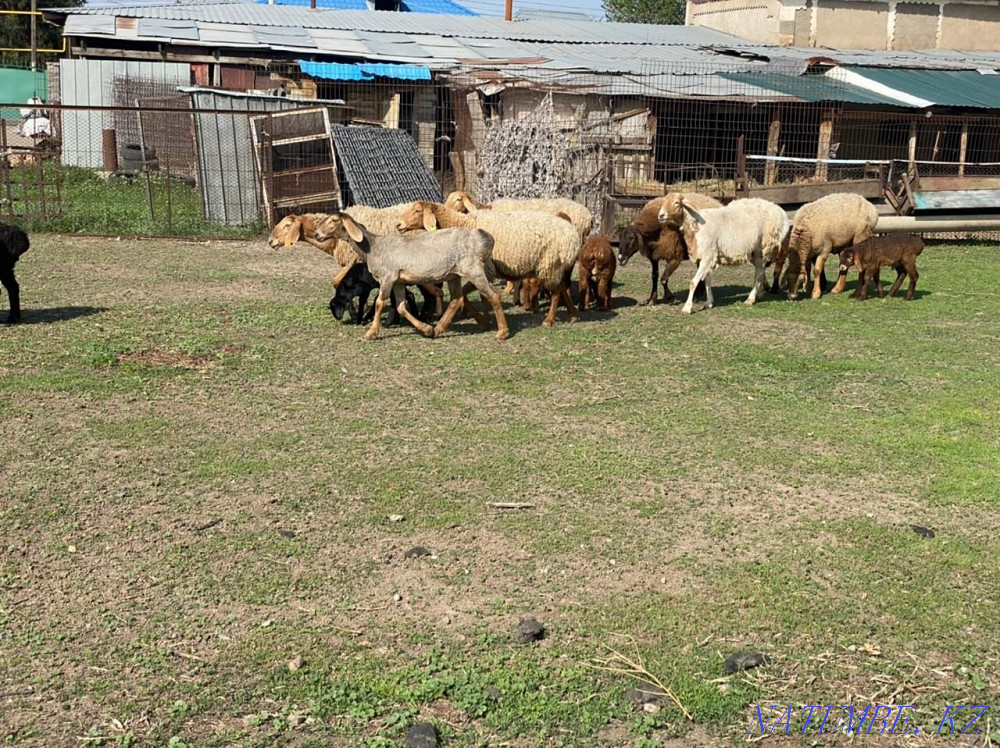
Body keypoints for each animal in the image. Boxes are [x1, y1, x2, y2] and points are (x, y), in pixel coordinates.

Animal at [317, 212, 508, 341]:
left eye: (333, 220)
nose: (317, 234)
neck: (373, 247)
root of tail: (484, 237)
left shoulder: (388, 276)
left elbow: (379, 303)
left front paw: (371, 332)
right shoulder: (398, 281)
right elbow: (401, 306)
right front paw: (425, 329)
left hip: (473, 269)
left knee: (493, 295)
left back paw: (502, 332)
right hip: (454, 274)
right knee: (457, 299)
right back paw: (438, 329)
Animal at [396, 202, 582, 328]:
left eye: (417, 210)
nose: (398, 225)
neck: (462, 224)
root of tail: (573, 234)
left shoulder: (483, 268)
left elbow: (472, 294)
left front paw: (480, 318)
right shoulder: (482, 270)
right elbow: (477, 295)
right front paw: (484, 318)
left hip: (550, 264)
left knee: (556, 292)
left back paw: (549, 320)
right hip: (555, 266)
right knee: (563, 287)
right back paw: (573, 315)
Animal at [658, 197, 789, 315]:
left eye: (676, 203)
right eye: (664, 200)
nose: (661, 215)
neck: (695, 225)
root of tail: (780, 212)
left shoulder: (708, 255)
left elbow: (693, 282)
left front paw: (687, 308)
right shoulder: (707, 257)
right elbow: (707, 280)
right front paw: (709, 302)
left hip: (761, 248)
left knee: (759, 273)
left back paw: (750, 299)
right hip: (754, 252)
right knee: (760, 272)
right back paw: (759, 294)